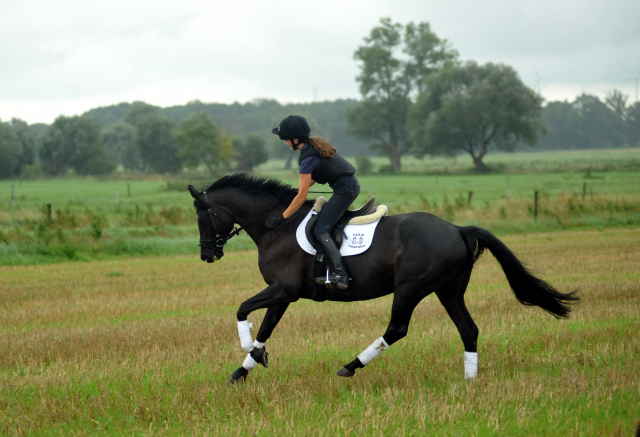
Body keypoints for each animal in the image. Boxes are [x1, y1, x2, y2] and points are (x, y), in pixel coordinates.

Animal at [186, 174, 580, 382]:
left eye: (203, 218)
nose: (207, 255)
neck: (276, 224)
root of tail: (457, 229)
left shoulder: (282, 289)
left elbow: (242, 309)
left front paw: (247, 352)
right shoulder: (283, 294)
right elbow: (266, 327)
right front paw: (244, 368)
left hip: (410, 288)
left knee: (397, 329)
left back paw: (350, 366)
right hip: (449, 289)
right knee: (468, 329)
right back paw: (470, 379)